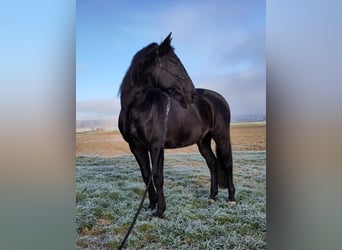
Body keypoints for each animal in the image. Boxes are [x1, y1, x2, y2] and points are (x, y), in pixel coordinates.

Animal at [118, 33, 235, 219]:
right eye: (174, 62)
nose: (192, 94)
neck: (138, 108)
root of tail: (219, 98)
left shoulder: (156, 146)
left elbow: (158, 177)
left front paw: (160, 211)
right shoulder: (136, 147)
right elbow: (146, 175)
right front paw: (151, 205)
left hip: (221, 135)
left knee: (227, 163)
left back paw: (231, 198)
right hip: (203, 141)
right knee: (213, 163)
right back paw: (212, 197)